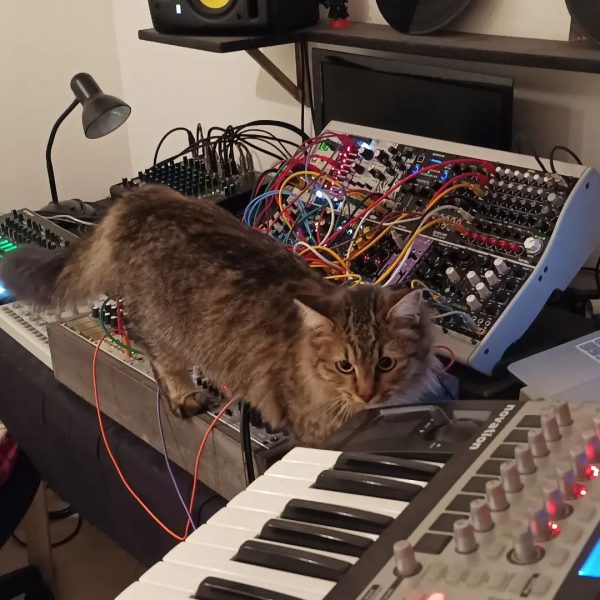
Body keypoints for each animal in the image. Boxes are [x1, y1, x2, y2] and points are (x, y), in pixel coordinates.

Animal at [3, 186, 436, 446]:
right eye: (345, 366)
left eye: (386, 363)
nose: (367, 393)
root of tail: (142, 195)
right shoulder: (311, 434)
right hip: (162, 325)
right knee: (161, 359)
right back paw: (185, 396)